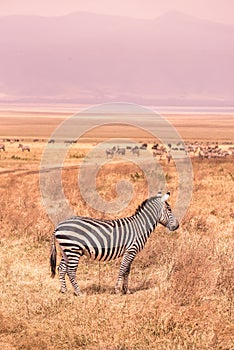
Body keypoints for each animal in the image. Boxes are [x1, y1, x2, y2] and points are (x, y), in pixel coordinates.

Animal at [50, 191, 179, 296]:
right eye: (169, 210)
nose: (177, 226)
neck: (140, 226)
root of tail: (58, 226)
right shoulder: (131, 250)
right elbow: (123, 269)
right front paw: (117, 290)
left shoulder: (130, 252)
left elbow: (127, 270)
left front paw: (126, 290)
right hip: (73, 250)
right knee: (71, 271)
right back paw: (79, 292)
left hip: (66, 250)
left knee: (61, 268)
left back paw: (64, 290)